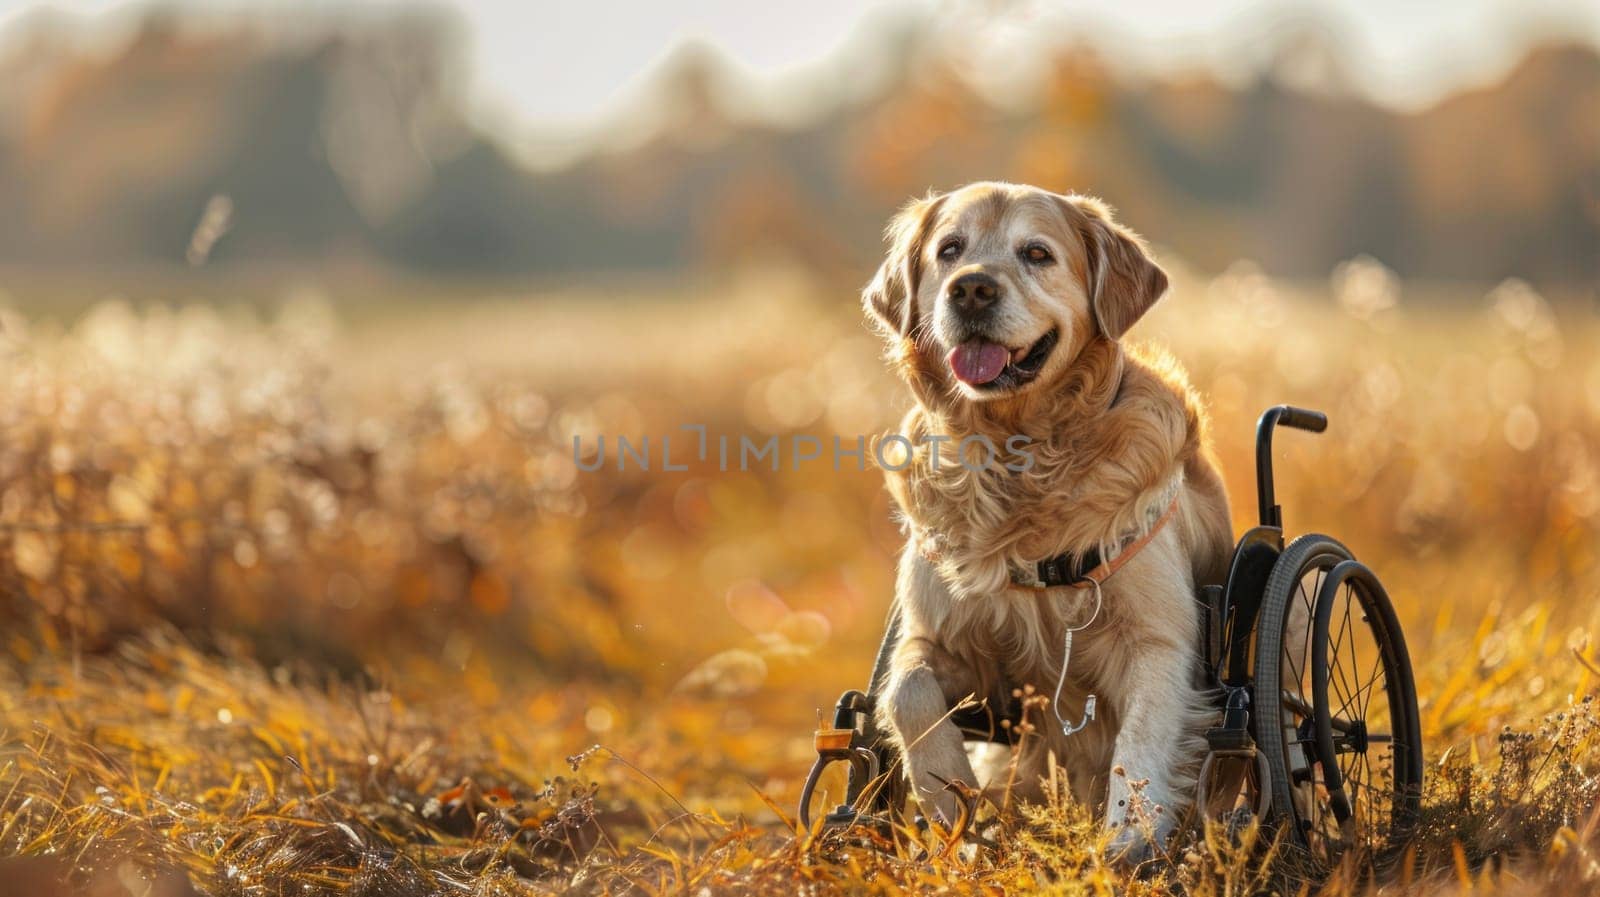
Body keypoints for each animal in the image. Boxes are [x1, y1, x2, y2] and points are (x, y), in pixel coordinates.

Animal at [870, 179, 1228, 850]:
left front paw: (1126, 843)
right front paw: (949, 795)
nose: (972, 289)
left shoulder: (1160, 642)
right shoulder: (944, 643)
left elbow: (1140, 745)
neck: (1019, 456)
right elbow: (907, 691)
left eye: (1036, 253)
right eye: (950, 250)